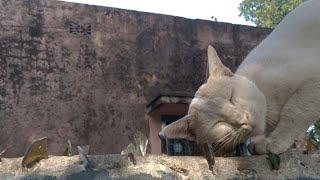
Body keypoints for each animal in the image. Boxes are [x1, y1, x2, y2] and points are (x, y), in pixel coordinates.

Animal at [159, 0, 320, 155]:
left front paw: (274, 141)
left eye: (231, 97)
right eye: (219, 123)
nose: (244, 119)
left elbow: (293, 112)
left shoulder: (313, 82)